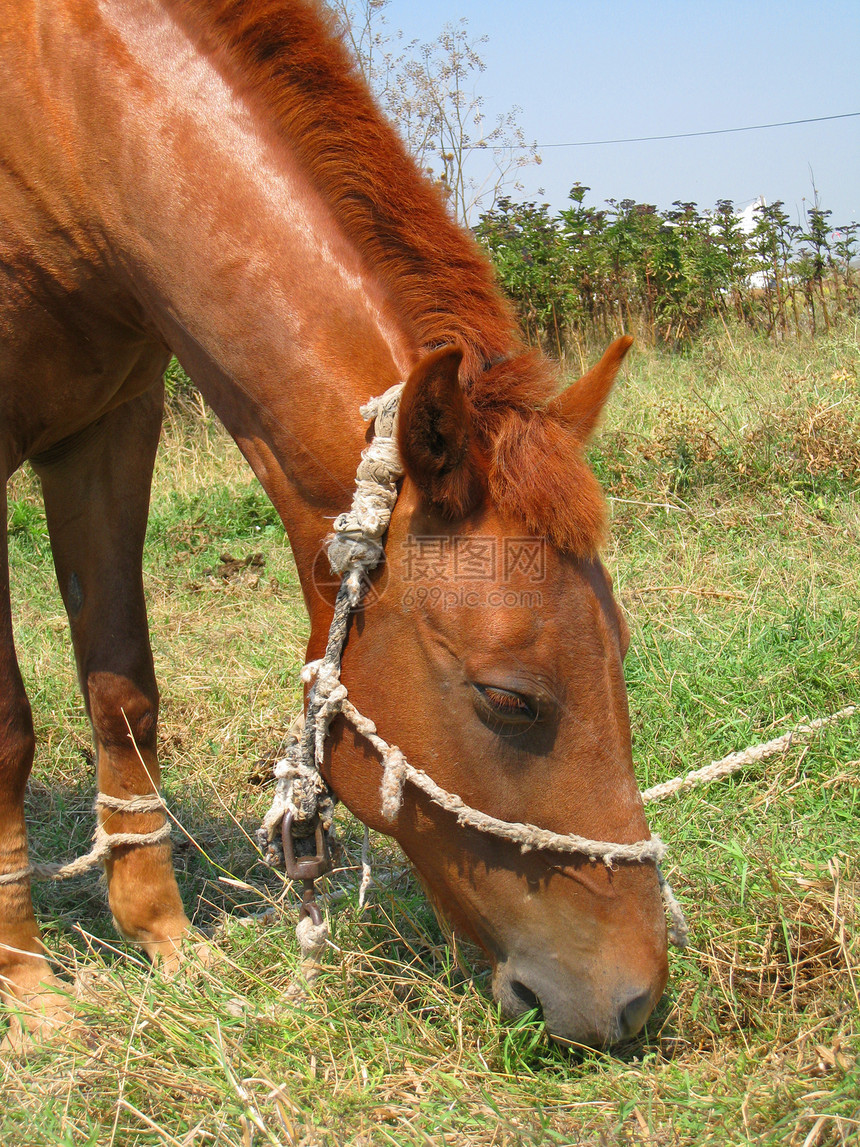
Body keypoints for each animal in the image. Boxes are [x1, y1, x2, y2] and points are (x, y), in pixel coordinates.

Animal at [0, 0, 669, 1050]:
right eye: (509, 699)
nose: (635, 998)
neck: (59, 115)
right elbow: (8, 728)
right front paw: (26, 985)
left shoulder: (110, 428)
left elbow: (124, 690)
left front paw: (167, 942)